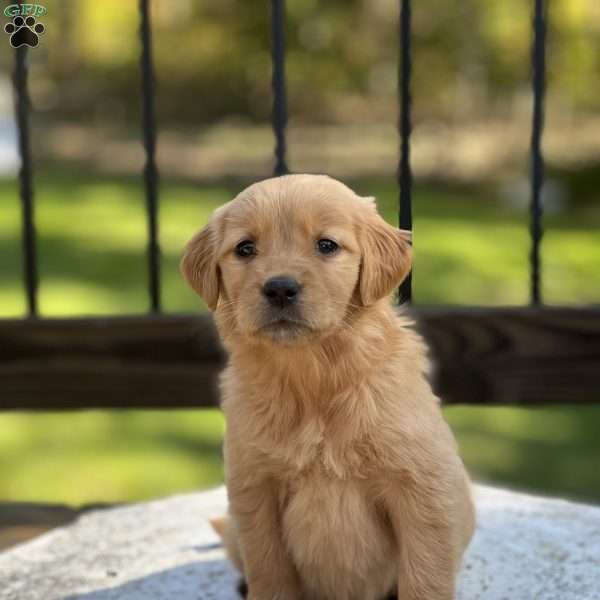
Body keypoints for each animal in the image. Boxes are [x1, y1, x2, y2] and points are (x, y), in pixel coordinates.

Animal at [180, 175, 476, 600]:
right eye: (245, 248)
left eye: (326, 245)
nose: (280, 288)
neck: (314, 379)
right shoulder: (255, 488)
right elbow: (269, 569)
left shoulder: (421, 487)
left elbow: (425, 576)